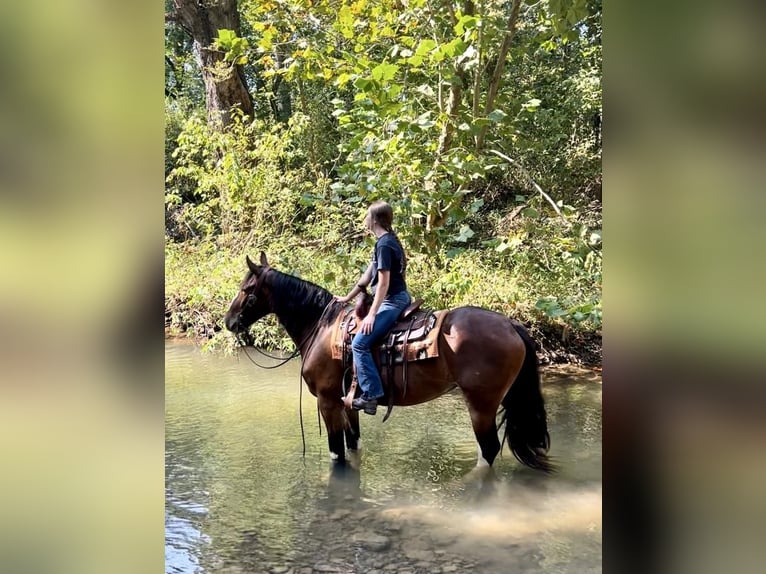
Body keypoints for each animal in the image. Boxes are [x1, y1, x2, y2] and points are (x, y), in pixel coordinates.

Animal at [225, 254, 556, 474]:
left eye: (246, 290)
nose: (228, 322)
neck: (322, 327)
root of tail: (511, 324)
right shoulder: (347, 402)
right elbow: (353, 445)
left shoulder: (328, 401)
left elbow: (336, 454)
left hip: (481, 404)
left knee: (488, 451)